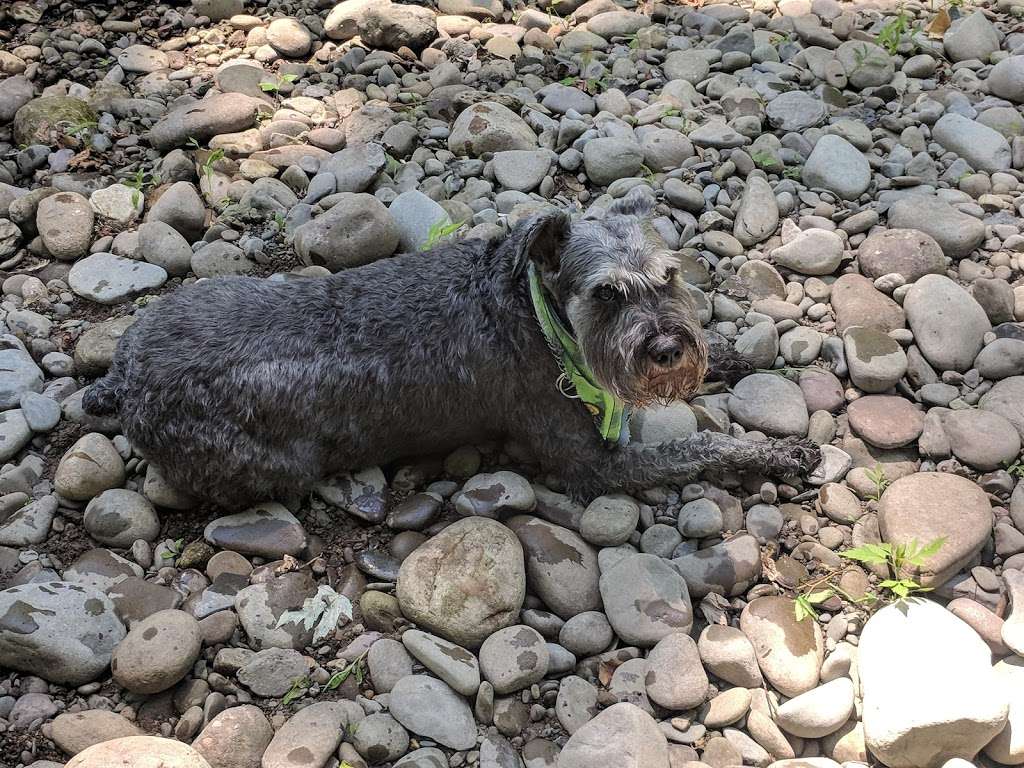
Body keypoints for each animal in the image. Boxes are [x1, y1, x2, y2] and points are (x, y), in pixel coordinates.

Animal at [86, 195, 823, 512]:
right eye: (606, 295)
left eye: (669, 278)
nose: (668, 349)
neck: (534, 313)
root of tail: (125, 378)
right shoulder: (594, 464)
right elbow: (701, 448)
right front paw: (776, 454)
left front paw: (735, 355)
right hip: (272, 463)